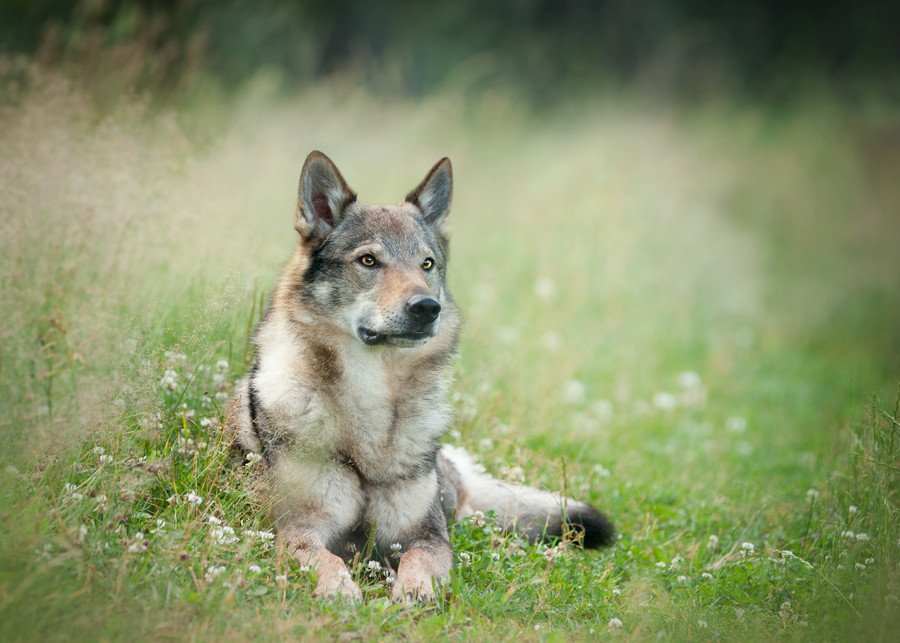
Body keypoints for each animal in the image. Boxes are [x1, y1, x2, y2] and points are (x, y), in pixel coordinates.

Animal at [229, 152, 616, 604]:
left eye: (426, 264)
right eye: (368, 260)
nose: (427, 307)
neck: (374, 408)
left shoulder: (426, 536)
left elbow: (421, 561)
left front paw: (414, 592)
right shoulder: (299, 527)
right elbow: (325, 558)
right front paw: (339, 590)